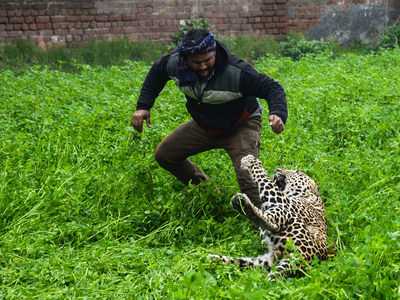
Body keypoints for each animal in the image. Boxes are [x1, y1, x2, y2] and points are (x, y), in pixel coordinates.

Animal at [208, 155, 336, 278]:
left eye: (297, 171)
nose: (277, 169)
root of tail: (304, 258)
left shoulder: (283, 200)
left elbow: (265, 180)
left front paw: (251, 162)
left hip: (290, 219)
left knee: (271, 224)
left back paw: (245, 206)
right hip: (264, 262)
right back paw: (213, 258)